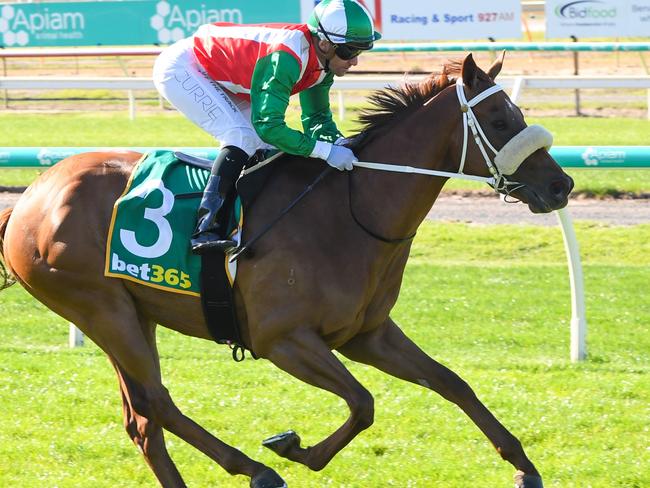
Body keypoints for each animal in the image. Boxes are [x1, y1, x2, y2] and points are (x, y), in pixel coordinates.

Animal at [0, 53, 568, 488]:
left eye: (517, 114)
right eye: (500, 121)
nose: (561, 185)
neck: (350, 212)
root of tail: (29, 196)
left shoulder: (367, 334)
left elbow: (452, 382)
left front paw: (524, 466)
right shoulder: (281, 339)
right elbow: (362, 402)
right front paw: (294, 448)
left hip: (133, 314)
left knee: (142, 420)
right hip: (101, 310)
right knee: (158, 403)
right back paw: (256, 469)